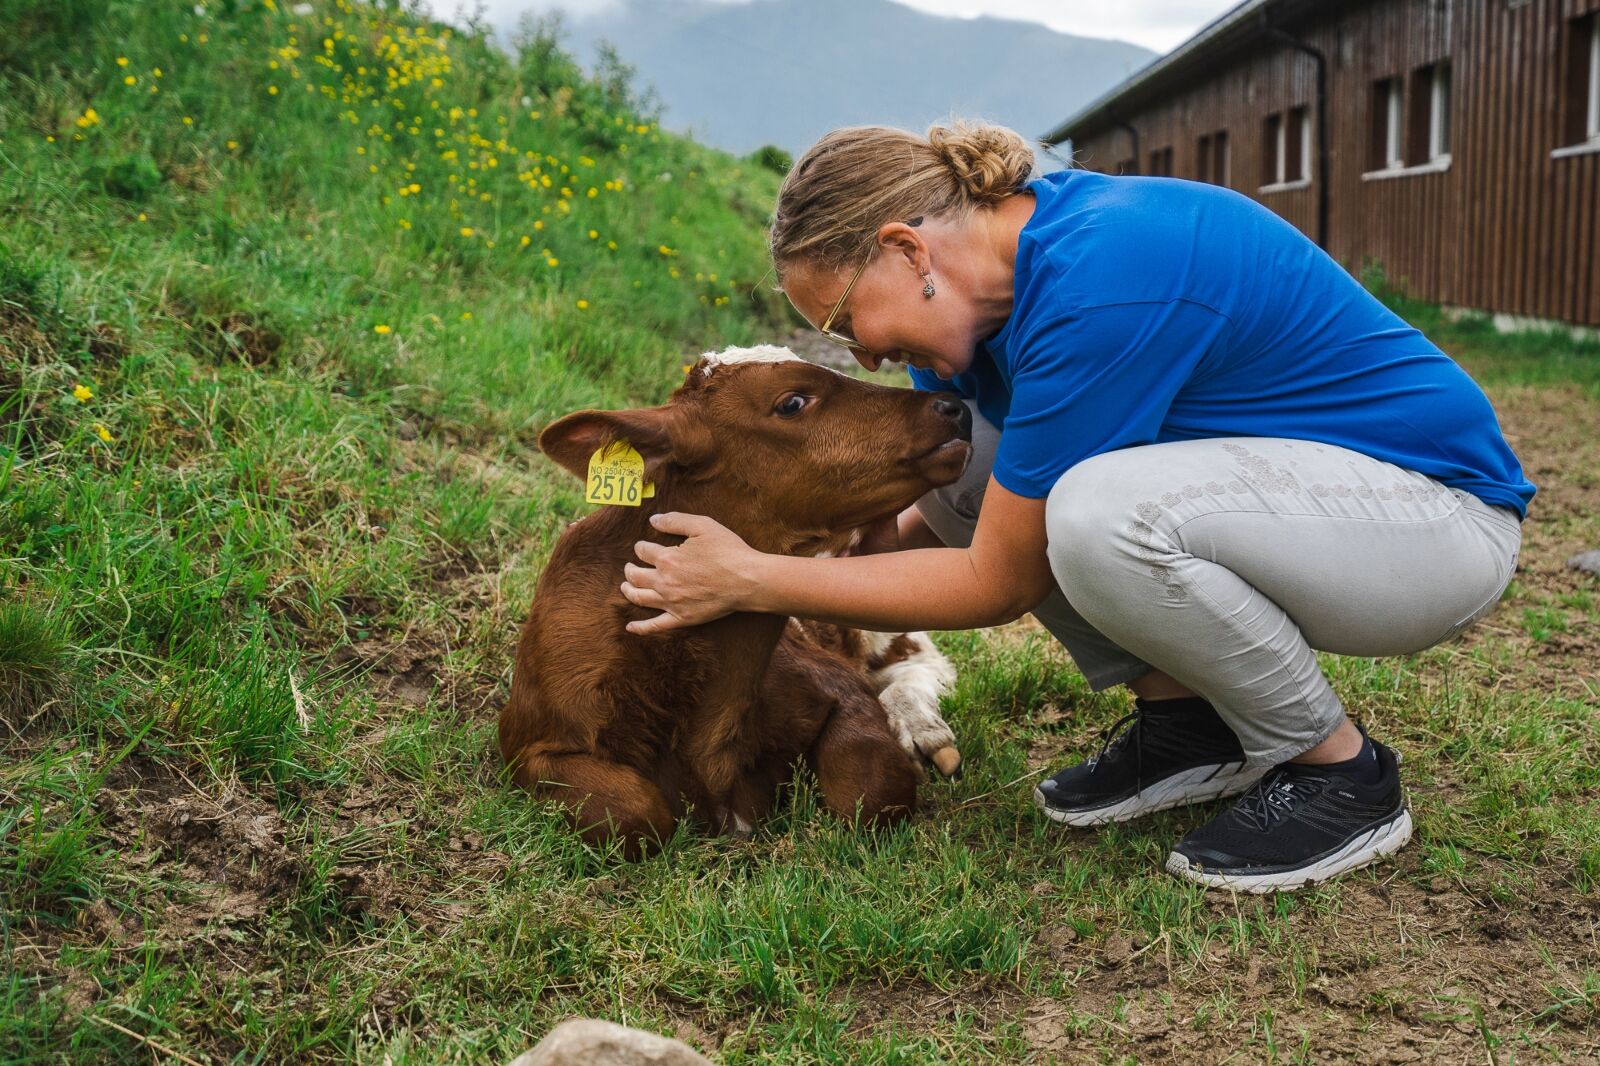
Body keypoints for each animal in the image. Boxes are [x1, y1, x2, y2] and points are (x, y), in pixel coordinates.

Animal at [505, 347, 966, 857]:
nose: (953, 406)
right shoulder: (531, 746)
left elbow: (870, 790)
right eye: (791, 403)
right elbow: (634, 813)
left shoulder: (841, 687)